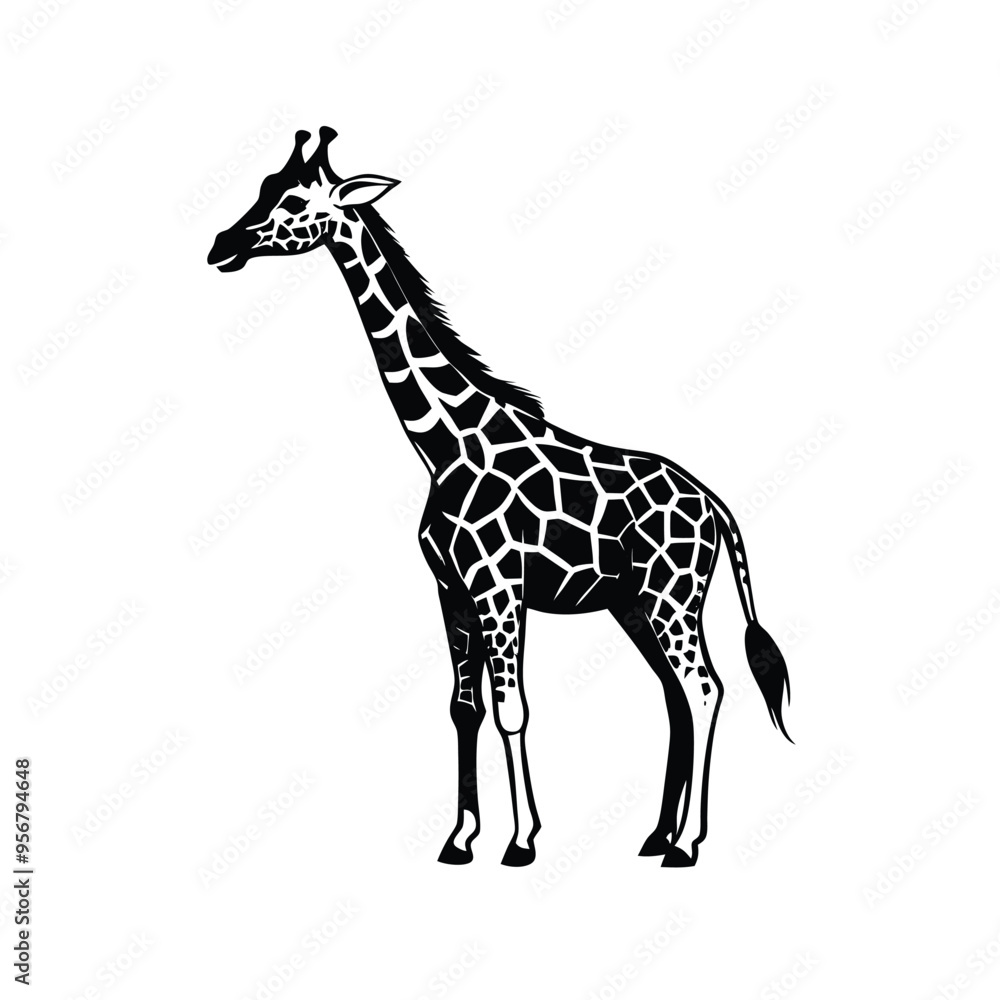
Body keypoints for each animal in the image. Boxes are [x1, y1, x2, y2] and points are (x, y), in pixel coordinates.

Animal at [208, 128, 792, 868]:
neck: (444, 445)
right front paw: (460, 838)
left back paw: (687, 843)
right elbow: (466, 709)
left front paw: (521, 840)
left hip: (672, 595)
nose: (221, 245)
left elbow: (514, 709)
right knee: (673, 696)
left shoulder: (499, 586)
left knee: (703, 688)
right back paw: (658, 835)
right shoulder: (451, 589)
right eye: (262, 187)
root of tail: (714, 505)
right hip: (634, 603)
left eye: (293, 200)